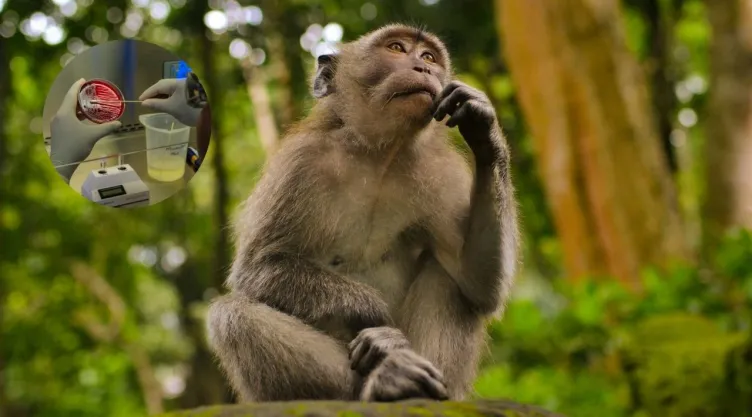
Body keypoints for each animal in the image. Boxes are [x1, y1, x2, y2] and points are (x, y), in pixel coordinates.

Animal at [206, 23, 519, 403]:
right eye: (397, 49)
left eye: (429, 56)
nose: (424, 68)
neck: (378, 155)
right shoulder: (299, 163)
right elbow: (258, 268)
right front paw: (378, 320)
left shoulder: (441, 173)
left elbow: (479, 283)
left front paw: (483, 126)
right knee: (231, 314)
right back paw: (384, 379)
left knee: (448, 277)